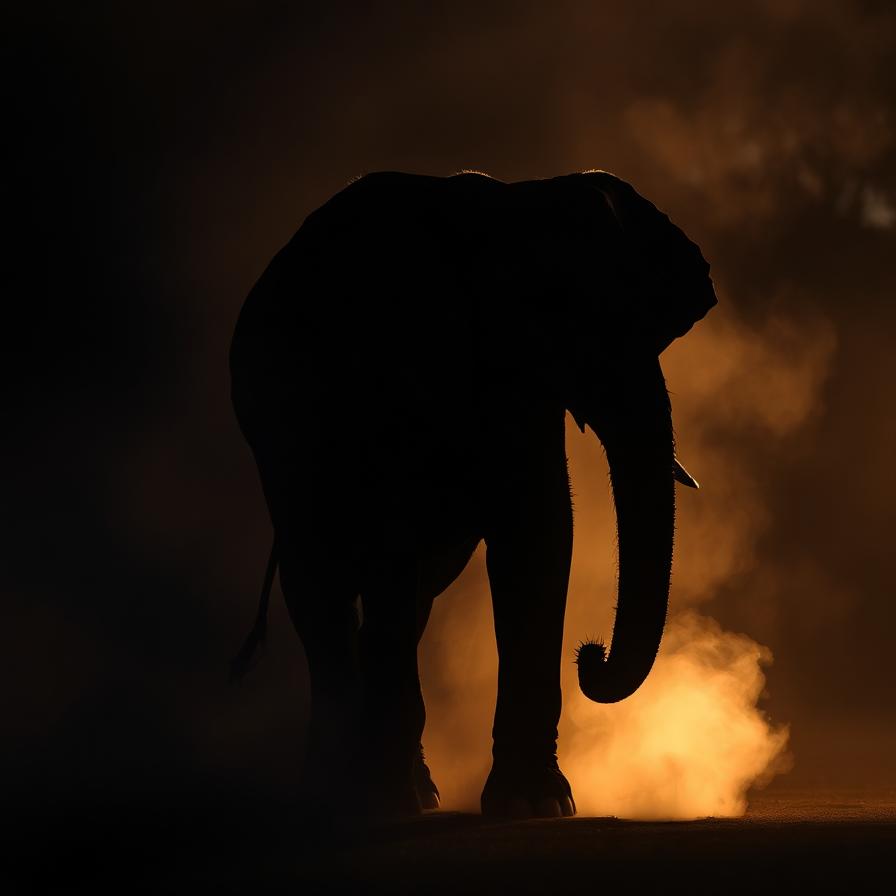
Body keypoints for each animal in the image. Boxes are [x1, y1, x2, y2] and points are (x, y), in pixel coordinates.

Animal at [229, 169, 716, 820]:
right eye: (556, 311)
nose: (589, 655)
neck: (516, 205)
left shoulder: (523, 393)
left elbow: (538, 530)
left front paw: (536, 805)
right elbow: (399, 539)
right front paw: (386, 799)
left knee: (410, 596)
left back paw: (407, 787)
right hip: (277, 443)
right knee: (321, 588)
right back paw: (339, 789)